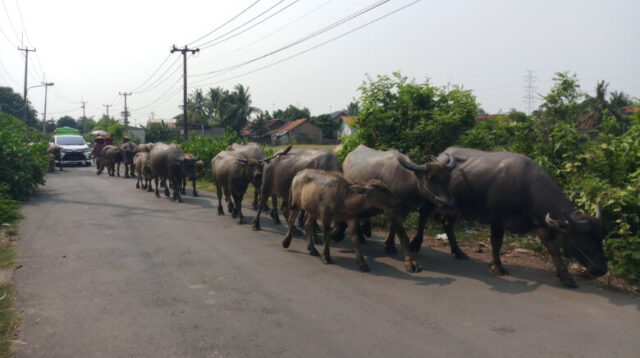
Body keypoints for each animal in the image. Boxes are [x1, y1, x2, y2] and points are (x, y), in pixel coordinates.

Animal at [336, 144, 456, 272]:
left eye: (448, 177)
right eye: (430, 177)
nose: (448, 203)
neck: (406, 181)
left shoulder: (403, 210)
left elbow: (393, 229)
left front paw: (390, 245)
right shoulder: (391, 210)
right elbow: (403, 236)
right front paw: (409, 262)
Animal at [408, 147, 608, 286]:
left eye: (600, 238)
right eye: (585, 239)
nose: (602, 269)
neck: (527, 189)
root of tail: (440, 157)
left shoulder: (541, 225)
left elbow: (553, 249)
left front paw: (565, 277)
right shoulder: (497, 218)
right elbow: (497, 242)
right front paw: (497, 267)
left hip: (457, 207)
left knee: (448, 225)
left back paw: (458, 251)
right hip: (433, 200)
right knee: (423, 215)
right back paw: (416, 243)